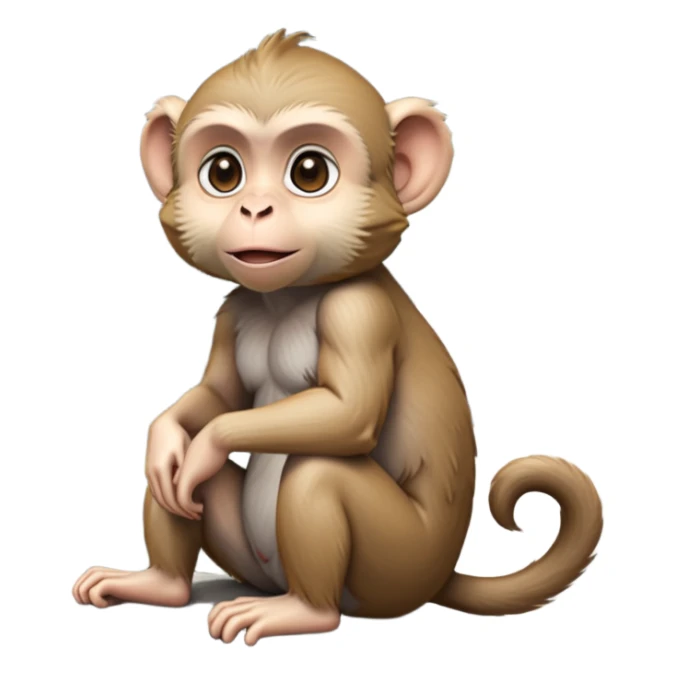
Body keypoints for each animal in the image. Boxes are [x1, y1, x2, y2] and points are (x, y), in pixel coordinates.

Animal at [73, 30, 603, 645]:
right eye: (223, 172)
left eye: (309, 172)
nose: (254, 208)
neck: (286, 298)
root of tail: (440, 575)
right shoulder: (235, 308)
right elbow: (213, 403)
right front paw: (164, 435)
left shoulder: (360, 312)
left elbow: (347, 413)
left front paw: (209, 442)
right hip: (257, 563)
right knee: (182, 482)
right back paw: (159, 583)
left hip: (395, 568)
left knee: (318, 472)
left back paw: (304, 611)